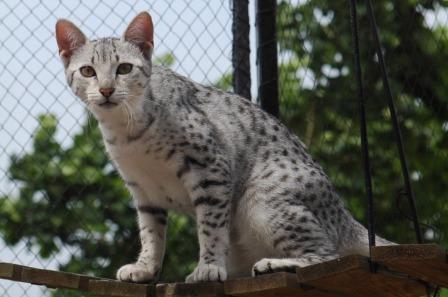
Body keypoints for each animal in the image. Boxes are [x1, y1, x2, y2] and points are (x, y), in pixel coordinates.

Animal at [54, 11, 390, 284]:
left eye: (124, 68)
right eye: (87, 71)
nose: (106, 90)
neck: (128, 130)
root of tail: (345, 218)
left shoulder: (210, 168)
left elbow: (211, 227)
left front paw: (208, 268)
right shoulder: (144, 191)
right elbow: (151, 234)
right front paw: (146, 268)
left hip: (264, 202)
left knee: (327, 254)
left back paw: (275, 264)